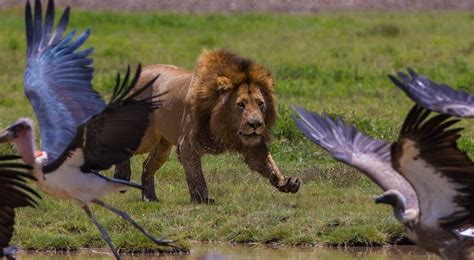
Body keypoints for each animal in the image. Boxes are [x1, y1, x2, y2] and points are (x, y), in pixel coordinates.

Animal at [113, 48, 302, 203]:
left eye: (260, 103)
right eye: (241, 104)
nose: (256, 124)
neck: (226, 128)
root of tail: (143, 71)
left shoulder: (252, 145)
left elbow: (268, 163)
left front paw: (287, 182)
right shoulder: (187, 144)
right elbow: (196, 175)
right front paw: (202, 199)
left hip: (163, 143)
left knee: (147, 165)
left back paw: (149, 197)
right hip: (146, 136)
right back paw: (121, 176)